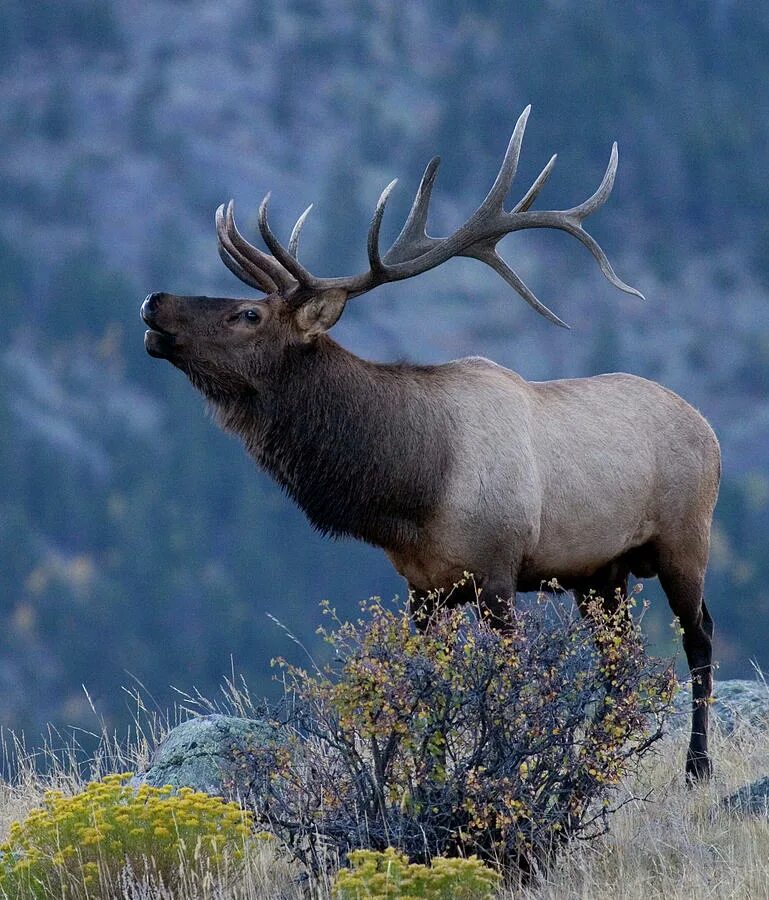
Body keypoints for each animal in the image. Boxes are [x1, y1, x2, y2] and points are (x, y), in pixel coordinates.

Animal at [142, 107, 720, 780]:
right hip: (603, 571)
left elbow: (507, 687)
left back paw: (696, 764)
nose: (154, 301)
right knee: (619, 661)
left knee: (700, 636)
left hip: (684, 539)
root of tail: (708, 430)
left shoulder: (498, 570)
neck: (416, 488)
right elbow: (423, 695)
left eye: (248, 315)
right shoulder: (423, 589)